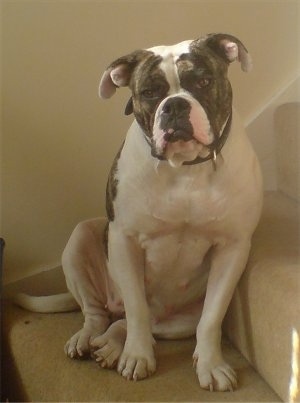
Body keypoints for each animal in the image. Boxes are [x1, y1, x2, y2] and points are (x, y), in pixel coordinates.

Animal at [14, 33, 262, 392]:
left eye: (203, 81)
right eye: (149, 92)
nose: (175, 105)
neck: (185, 168)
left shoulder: (233, 248)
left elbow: (211, 318)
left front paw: (211, 364)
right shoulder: (124, 240)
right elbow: (136, 309)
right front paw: (137, 356)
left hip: (177, 320)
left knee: (132, 323)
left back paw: (110, 345)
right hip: (80, 240)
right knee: (102, 314)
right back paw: (90, 340)